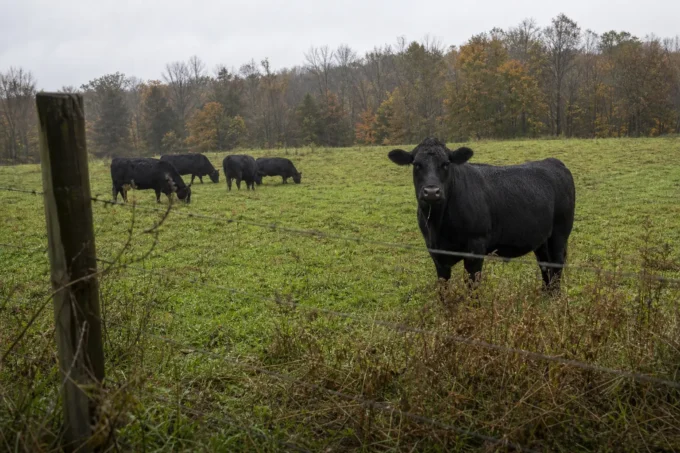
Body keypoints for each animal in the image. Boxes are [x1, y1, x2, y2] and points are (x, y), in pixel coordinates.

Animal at [388, 137, 575, 294]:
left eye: (446, 164)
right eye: (416, 164)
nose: (432, 192)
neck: (438, 224)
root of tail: (553, 161)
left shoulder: (476, 246)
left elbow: (472, 286)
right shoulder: (435, 252)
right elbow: (443, 288)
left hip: (560, 233)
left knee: (556, 264)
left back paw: (554, 298)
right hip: (541, 239)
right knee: (545, 265)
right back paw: (545, 295)